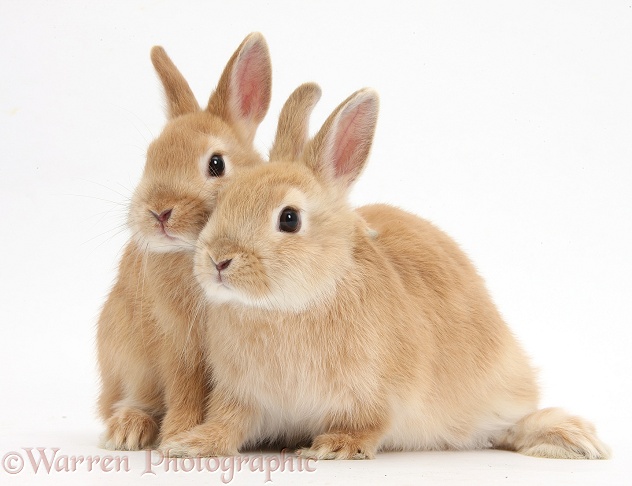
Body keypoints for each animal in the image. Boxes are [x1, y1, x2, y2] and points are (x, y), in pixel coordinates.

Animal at [97, 33, 272, 452]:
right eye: (150, 158)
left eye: (216, 164)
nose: (159, 211)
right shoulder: (178, 344)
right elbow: (184, 389)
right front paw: (177, 435)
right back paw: (128, 430)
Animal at [164, 85, 612, 462]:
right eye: (223, 199)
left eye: (289, 219)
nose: (218, 260)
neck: (287, 308)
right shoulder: (242, 396)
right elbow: (229, 424)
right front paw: (188, 444)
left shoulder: (378, 394)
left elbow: (368, 425)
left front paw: (334, 447)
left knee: (507, 428)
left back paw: (575, 440)